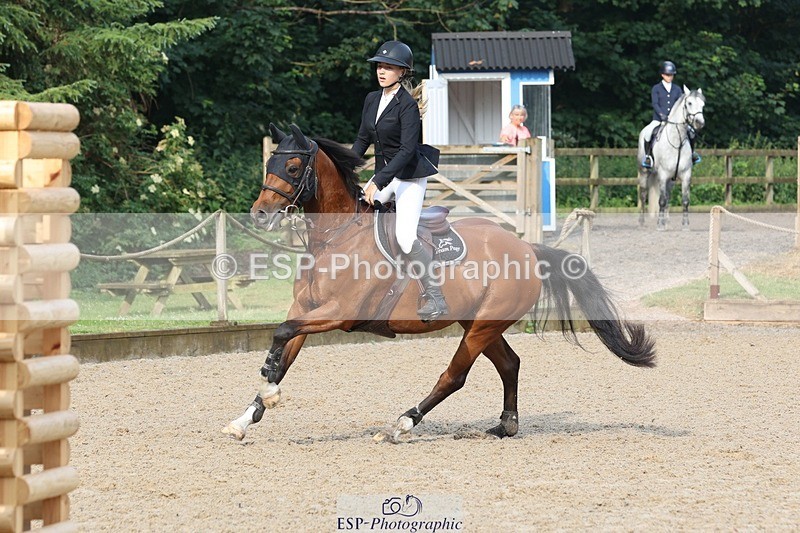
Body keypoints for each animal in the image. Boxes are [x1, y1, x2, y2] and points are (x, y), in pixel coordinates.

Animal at [222, 123, 656, 443]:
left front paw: (268, 388)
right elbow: (284, 351)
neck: (334, 238)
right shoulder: (307, 310)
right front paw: (247, 415)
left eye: (294, 168)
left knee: (455, 376)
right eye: (270, 165)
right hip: (480, 323)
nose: (259, 213)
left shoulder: (337, 314)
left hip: (480, 328)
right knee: (509, 363)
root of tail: (527, 248)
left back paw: (402, 423)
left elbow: (281, 333)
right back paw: (506, 425)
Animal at [637, 87, 706, 230]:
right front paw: (659, 225)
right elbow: (661, 201)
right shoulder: (663, 175)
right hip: (644, 172)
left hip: (671, 179)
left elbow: (684, 200)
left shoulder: (685, 175)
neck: (676, 142)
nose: (700, 123)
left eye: (702, 105)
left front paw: (685, 225)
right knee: (643, 195)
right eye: (689, 103)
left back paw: (667, 222)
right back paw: (641, 222)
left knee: (668, 196)